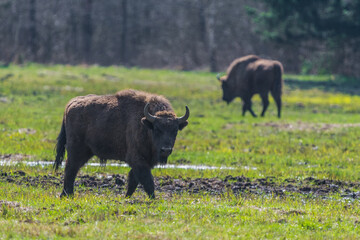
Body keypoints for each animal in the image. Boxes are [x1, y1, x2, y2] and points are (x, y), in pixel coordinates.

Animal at [54, 89, 190, 199]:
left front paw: (127, 197)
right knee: (71, 168)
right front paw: (153, 198)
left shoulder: (145, 161)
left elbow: (133, 180)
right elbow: (147, 180)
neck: (146, 125)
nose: (165, 150)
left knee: (72, 169)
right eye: (157, 129)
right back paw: (67, 195)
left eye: (175, 130)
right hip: (77, 150)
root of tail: (71, 104)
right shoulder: (137, 159)